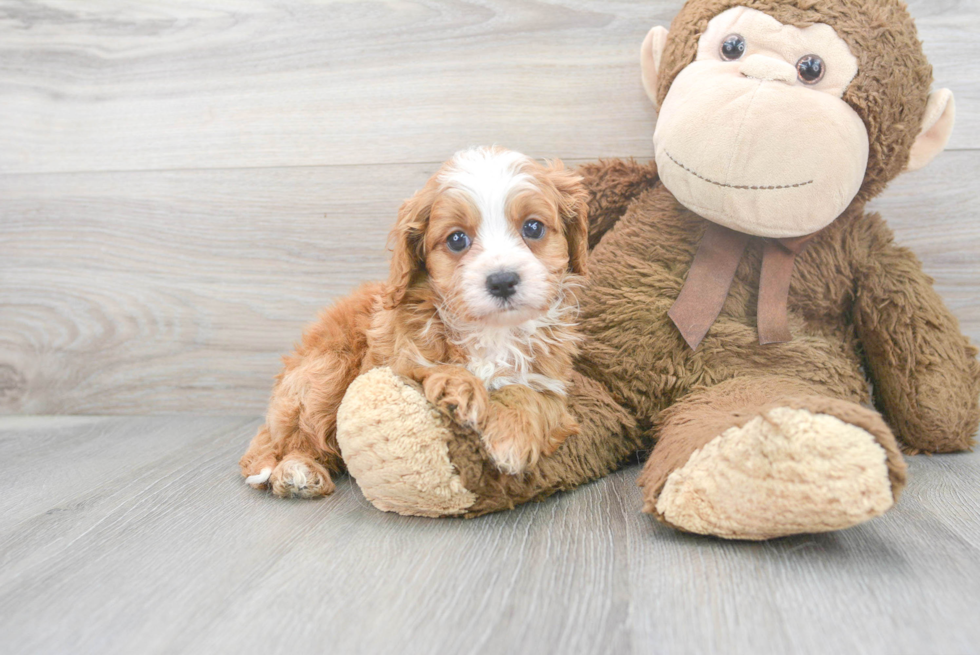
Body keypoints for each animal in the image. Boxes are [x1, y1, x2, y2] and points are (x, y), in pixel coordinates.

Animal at [240, 147, 584, 498]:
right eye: (457, 239)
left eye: (533, 228)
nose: (501, 281)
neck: (491, 330)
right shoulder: (387, 362)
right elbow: (422, 368)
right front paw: (460, 389)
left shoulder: (552, 386)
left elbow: (529, 394)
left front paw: (512, 437)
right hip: (327, 370)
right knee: (291, 438)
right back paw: (297, 470)